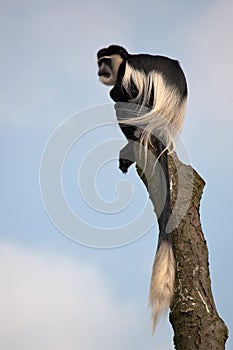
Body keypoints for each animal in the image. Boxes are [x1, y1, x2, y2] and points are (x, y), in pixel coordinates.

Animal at [96, 44, 187, 330]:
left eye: (106, 61)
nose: (100, 70)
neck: (126, 61)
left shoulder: (131, 74)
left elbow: (122, 93)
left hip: (144, 114)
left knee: (120, 98)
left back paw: (131, 144)